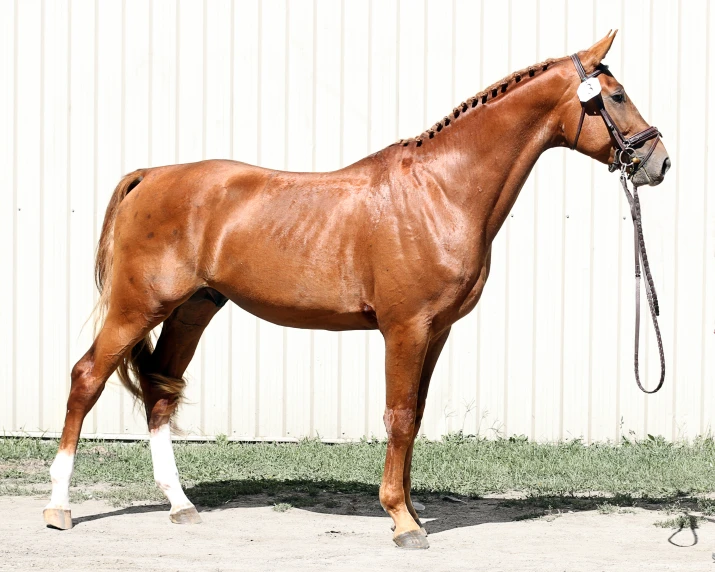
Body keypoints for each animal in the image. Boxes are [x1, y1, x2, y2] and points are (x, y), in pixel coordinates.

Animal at [44, 32, 672, 548]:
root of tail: (149, 175)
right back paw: (58, 508)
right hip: (137, 306)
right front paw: (402, 523)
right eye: (616, 97)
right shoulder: (405, 328)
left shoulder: (436, 333)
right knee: (86, 378)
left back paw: (179, 505)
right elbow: (398, 416)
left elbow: (414, 418)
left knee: (158, 391)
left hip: (192, 309)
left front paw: (411, 510)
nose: (659, 162)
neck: (441, 191)